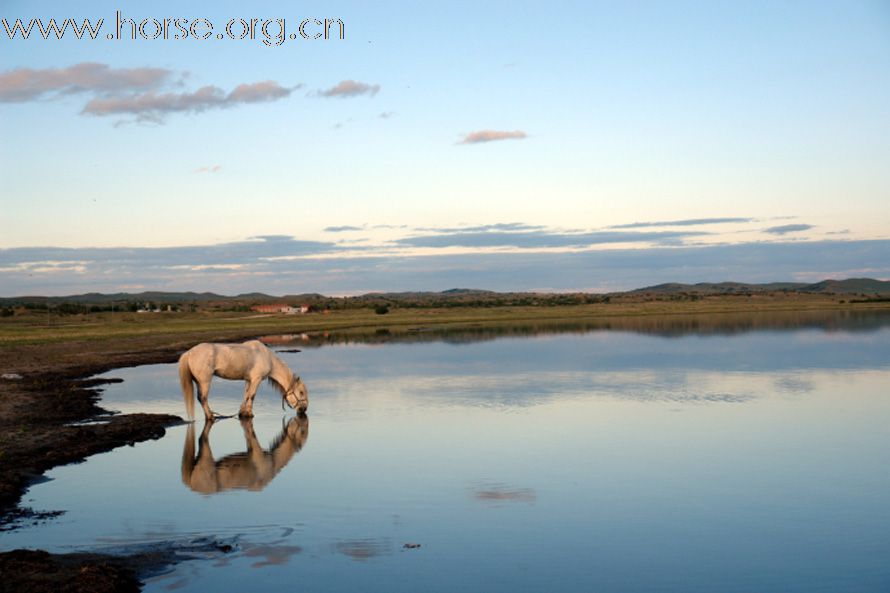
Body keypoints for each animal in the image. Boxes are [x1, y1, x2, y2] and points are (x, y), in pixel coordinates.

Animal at [177, 340, 308, 418]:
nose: (304, 409)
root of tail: (189, 352)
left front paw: (242, 413)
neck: (267, 357)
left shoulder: (248, 380)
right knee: (203, 398)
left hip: (198, 382)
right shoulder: (256, 379)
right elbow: (252, 396)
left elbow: (245, 395)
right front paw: (250, 414)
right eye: (301, 392)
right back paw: (210, 417)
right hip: (205, 382)